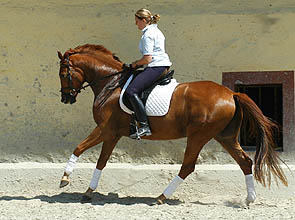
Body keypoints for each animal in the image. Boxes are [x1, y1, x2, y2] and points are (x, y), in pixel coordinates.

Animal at [57, 43, 286, 204]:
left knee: (188, 166)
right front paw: (88, 192)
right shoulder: (113, 134)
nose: (66, 98)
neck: (110, 84)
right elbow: (101, 162)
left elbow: (78, 148)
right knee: (245, 162)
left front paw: (65, 178)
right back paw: (249, 199)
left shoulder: (105, 129)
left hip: (199, 135)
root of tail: (231, 93)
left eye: (63, 74)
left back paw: (161, 197)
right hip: (225, 136)